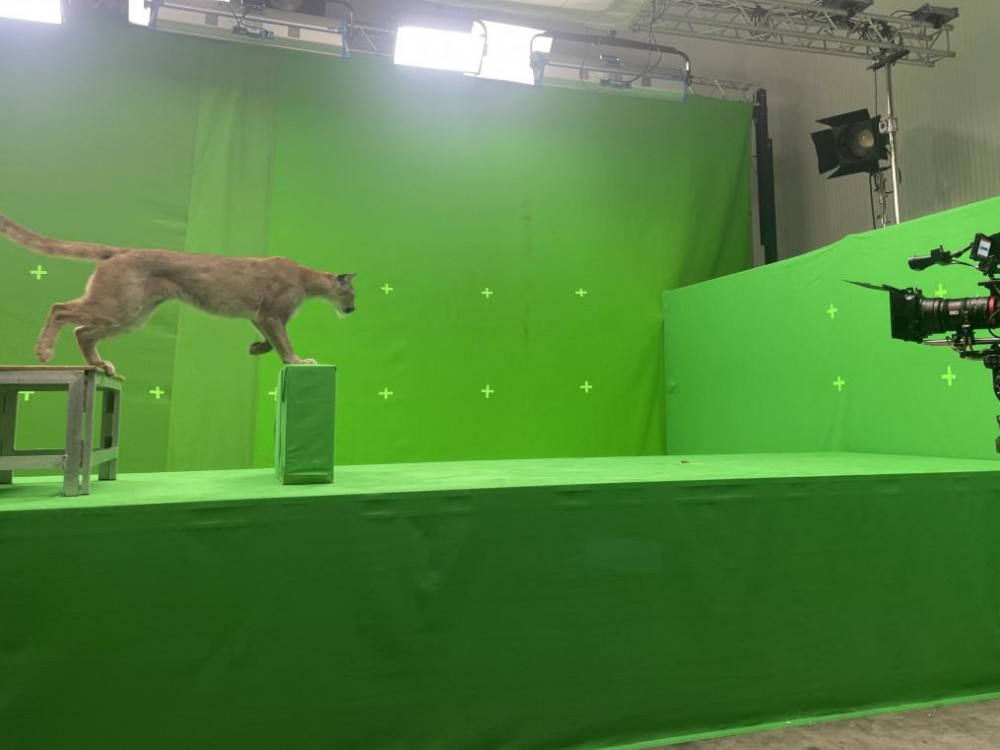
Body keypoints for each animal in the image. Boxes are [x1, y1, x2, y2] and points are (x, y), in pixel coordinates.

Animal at [0, 213, 355, 376]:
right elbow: (283, 342)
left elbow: (271, 339)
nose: (352, 310)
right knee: (60, 309)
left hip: (132, 315)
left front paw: (256, 348)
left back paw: (100, 365)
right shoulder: (271, 314)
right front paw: (298, 361)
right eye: (352, 293)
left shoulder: (259, 316)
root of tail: (122, 251)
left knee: (82, 331)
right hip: (118, 306)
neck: (307, 278)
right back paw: (44, 352)